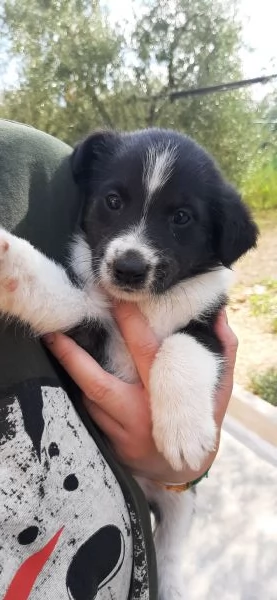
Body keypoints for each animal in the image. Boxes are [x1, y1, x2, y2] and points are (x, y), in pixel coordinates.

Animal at [0, 129, 258, 596]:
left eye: (181, 218)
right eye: (114, 201)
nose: (129, 267)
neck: (147, 305)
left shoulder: (210, 328)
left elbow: (181, 347)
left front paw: (184, 431)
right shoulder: (85, 329)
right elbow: (53, 290)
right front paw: (6, 257)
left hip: (180, 501)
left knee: (170, 548)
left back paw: (172, 586)